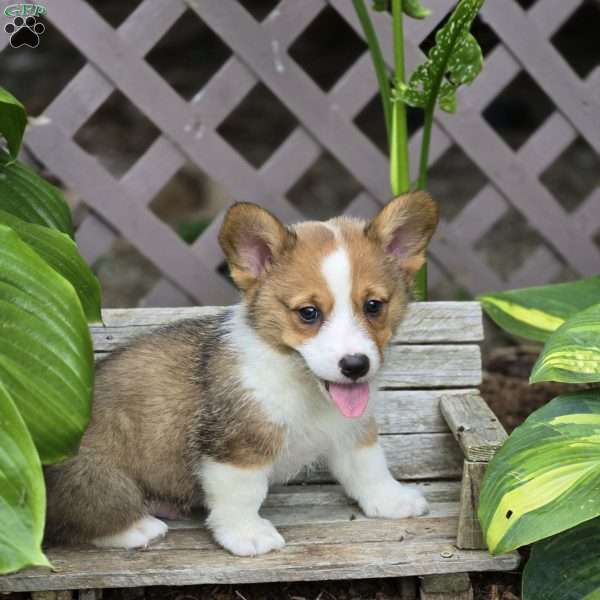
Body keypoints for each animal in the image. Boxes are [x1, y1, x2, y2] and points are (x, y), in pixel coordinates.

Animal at [44, 192, 438, 556]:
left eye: (373, 306)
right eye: (308, 313)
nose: (355, 366)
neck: (301, 383)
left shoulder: (351, 431)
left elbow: (370, 466)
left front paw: (392, 500)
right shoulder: (237, 449)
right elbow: (242, 495)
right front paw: (247, 535)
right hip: (99, 478)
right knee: (77, 518)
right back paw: (138, 528)